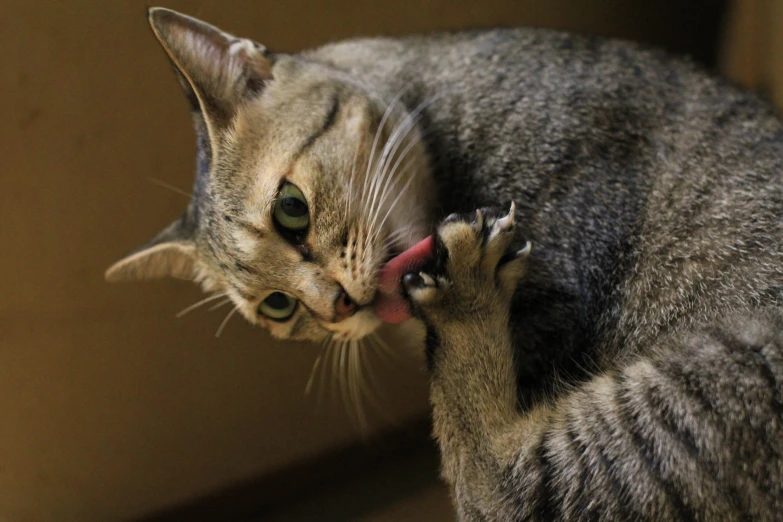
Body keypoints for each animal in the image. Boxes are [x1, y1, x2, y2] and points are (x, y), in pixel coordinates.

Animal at [108, 8, 783, 520]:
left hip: (720, 370)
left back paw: (464, 301)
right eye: (278, 307)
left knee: (502, 486)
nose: (337, 308)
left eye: (291, 209)